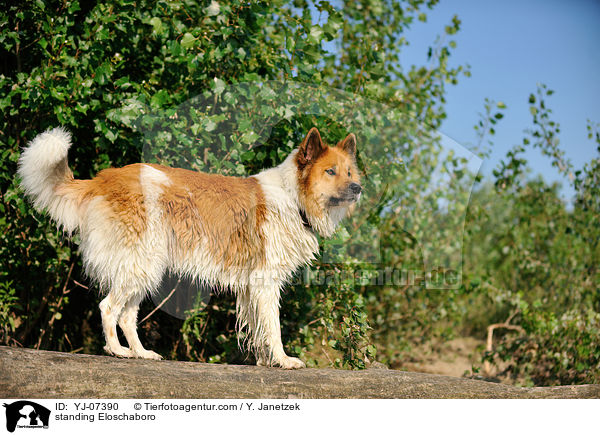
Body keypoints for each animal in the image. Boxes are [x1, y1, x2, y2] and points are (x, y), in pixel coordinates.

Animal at [18, 126, 364, 368]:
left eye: (349, 172)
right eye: (330, 171)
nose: (358, 188)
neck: (294, 198)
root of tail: (102, 179)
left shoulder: (252, 286)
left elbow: (258, 328)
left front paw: (265, 362)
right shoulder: (265, 281)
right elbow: (274, 327)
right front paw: (283, 360)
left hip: (144, 267)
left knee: (127, 315)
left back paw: (141, 353)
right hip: (140, 263)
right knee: (108, 308)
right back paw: (118, 351)